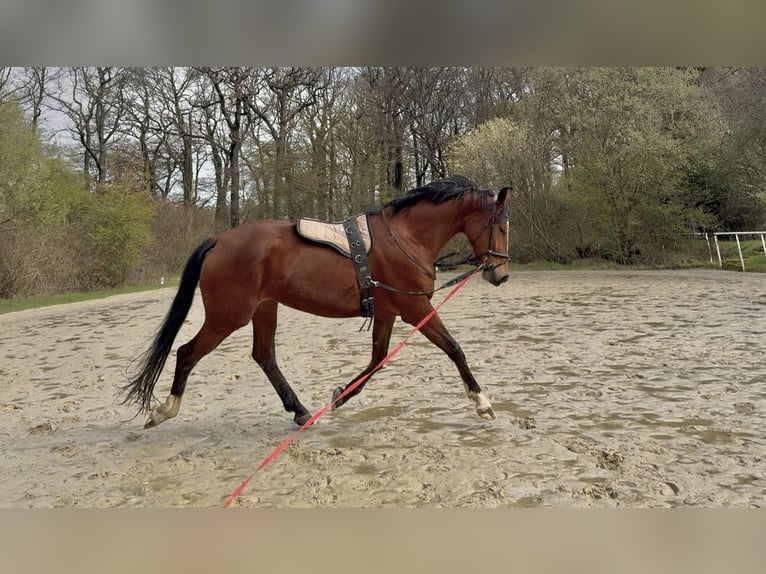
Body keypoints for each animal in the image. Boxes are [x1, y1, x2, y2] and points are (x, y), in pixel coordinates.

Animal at [120, 175, 510, 429]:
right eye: (502, 227)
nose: (501, 274)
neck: (406, 236)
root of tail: (219, 240)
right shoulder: (416, 309)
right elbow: (454, 348)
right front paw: (482, 403)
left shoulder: (387, 313)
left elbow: (377, 361)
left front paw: (340, 396)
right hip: (228, 316)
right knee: (187, 353)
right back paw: (165, 410)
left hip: (264, 309)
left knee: (264, 356)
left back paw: (299, 410)